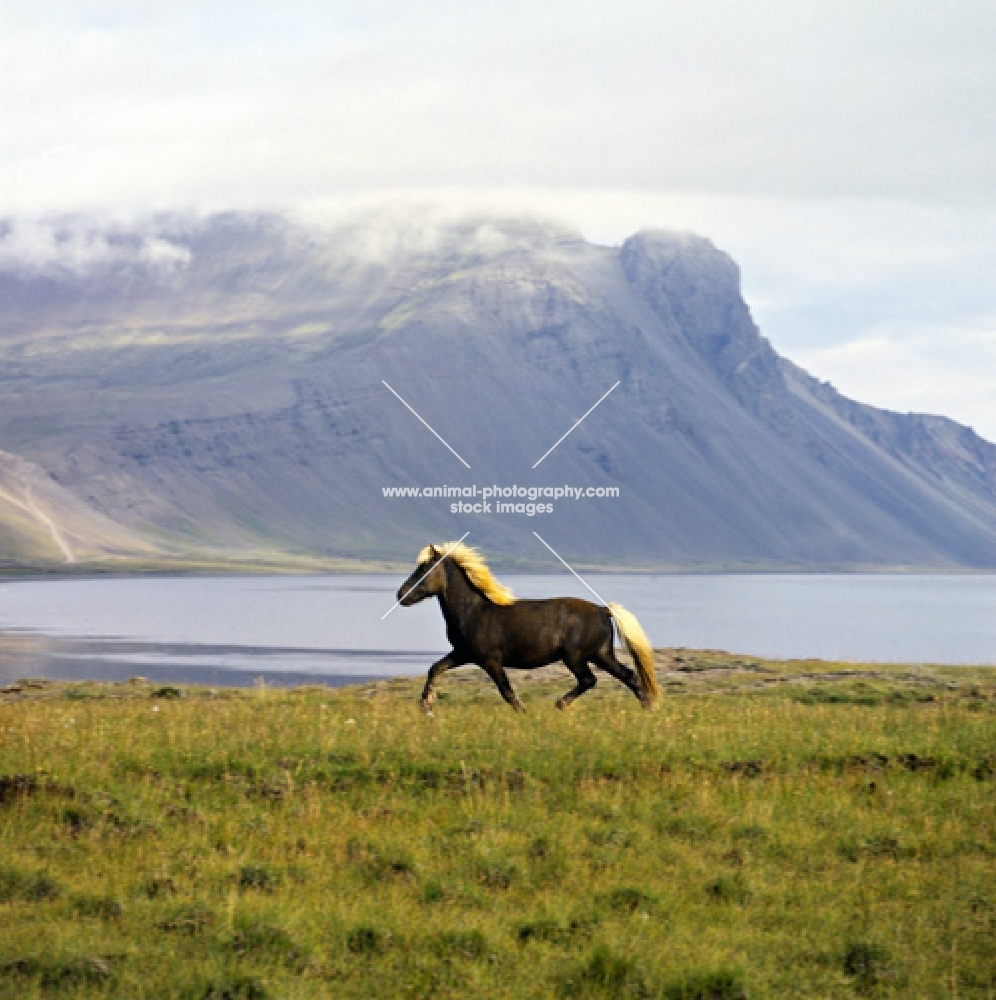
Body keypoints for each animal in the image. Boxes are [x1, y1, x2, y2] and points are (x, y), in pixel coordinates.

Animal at [396, 544, 660, 716]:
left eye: (424, 569)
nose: (400, 595)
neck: (473, 611)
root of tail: (603, 609)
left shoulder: (490, 660)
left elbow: (506, 690)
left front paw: (524, 712)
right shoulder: (464, 654)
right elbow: (435, 668)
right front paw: (426, 705)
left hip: (575, 657)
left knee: (589, 679)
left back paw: (560, 704)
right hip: (601, 654)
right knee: (629, 675)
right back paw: (648, 709)